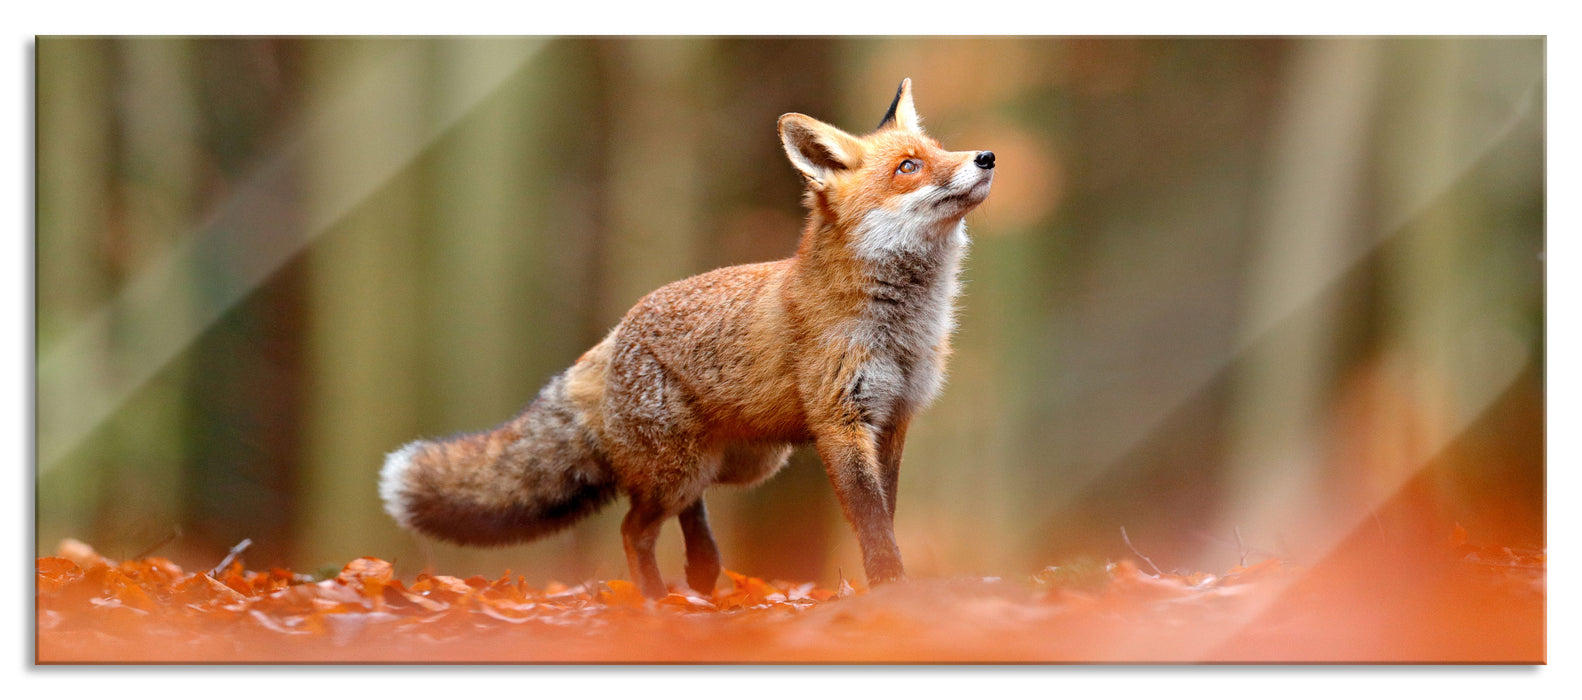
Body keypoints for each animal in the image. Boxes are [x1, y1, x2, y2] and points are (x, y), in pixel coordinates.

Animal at [380, 78, 995, 599]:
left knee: (686, 510)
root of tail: (614, 334)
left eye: (940, 150)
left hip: (742, 462)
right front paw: (890, 588)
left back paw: (701, 571)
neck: (902, 326)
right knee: (634, 528)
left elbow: (885, 514)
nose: (985, 157)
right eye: (909, 167)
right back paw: (655, 603)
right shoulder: (842, 421)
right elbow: (871, 523)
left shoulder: (893, 419)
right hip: (682, 468)